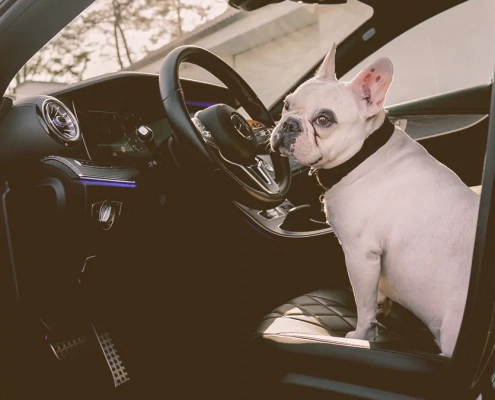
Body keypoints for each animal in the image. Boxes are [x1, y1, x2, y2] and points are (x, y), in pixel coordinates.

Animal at [272, 44, 480, 356]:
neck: (365, 153)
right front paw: (382, 303)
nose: (288, 125)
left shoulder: (359, 255)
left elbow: (363, 305)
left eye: (324, 120)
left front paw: (361, 334)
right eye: (287, 104)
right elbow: (375, 295)